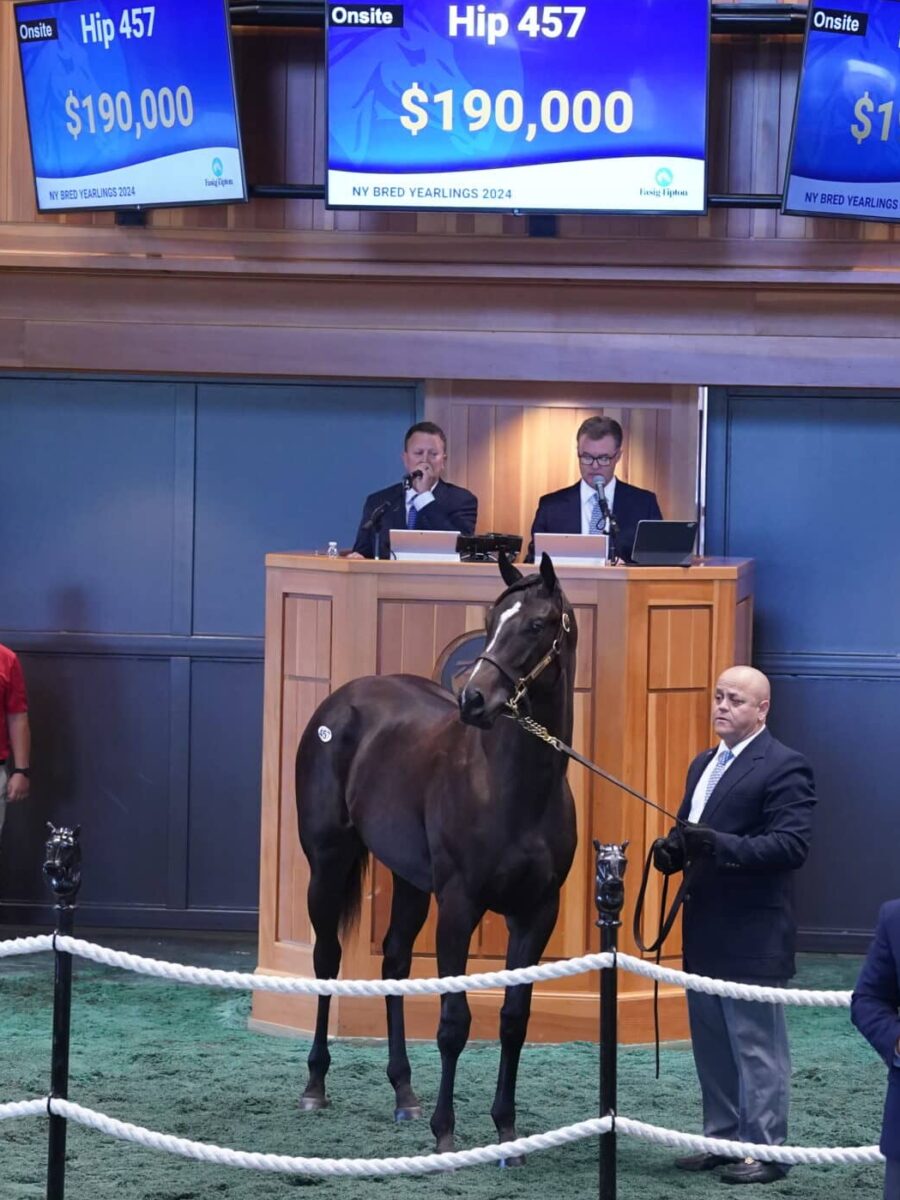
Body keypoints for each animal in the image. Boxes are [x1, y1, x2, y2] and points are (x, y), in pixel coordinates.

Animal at [294, 552, 578, 1152]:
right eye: (491, 621)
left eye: (537, 624)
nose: (474, 700)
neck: (513, 787)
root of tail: (342, 700)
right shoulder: (459, 906)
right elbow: (453, 1021)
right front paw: (445, 1132)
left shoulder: (537, 913)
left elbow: (513, 1018)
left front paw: (506, 1129)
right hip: (327, 863)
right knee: (327, 958)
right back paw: (315, 1084)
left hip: (409, 880)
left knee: (395, 960)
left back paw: (404, 1092)